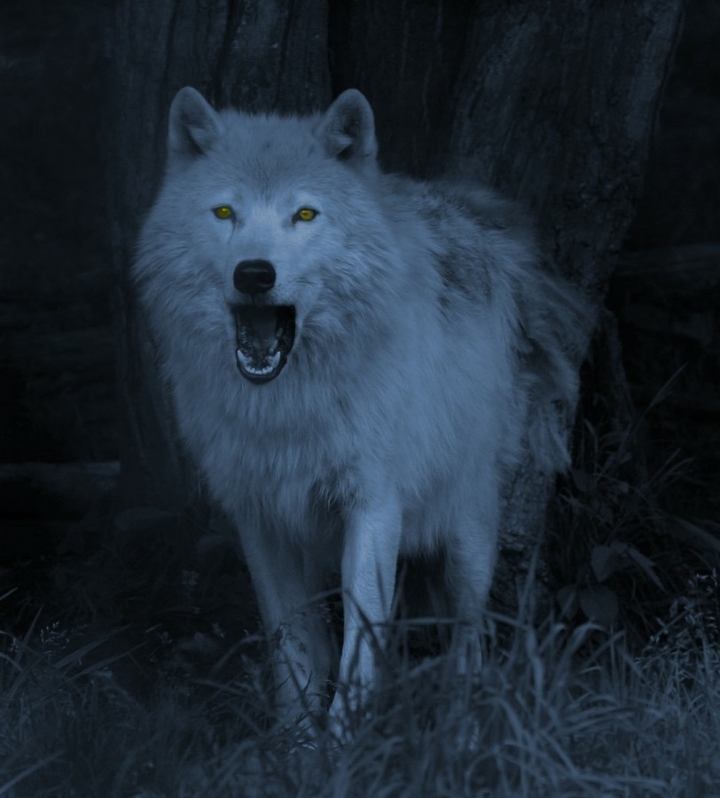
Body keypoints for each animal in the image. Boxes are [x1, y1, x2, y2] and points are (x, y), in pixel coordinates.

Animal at [134, 85, 587, 735]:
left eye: (304, 215)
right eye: (224, 213)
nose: (255, 274)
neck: (289, 405)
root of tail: (464, 210)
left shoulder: (374, 506)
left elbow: (359, 647)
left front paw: (344, 743)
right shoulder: (259, 517)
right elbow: (294, 646)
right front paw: (298, 743)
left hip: (467, 534)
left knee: (468, 640)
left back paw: (460, 727)